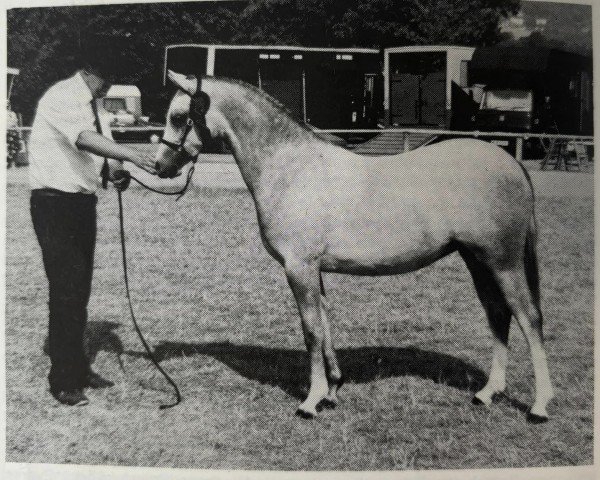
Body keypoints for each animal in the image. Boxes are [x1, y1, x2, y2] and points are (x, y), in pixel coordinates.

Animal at [154, 69, 552, 422]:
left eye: (178, 116)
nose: (160, 166)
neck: (292, 169)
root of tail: (512, 163)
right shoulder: (314, 270)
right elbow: (325, 326)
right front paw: (331, 391)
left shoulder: (299, 267)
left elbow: (311, 331)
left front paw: (310, 402)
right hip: (477, 259)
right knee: (498, 315)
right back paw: (488, 393)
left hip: (502, 261)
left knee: (528, 317)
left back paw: (539, 406)